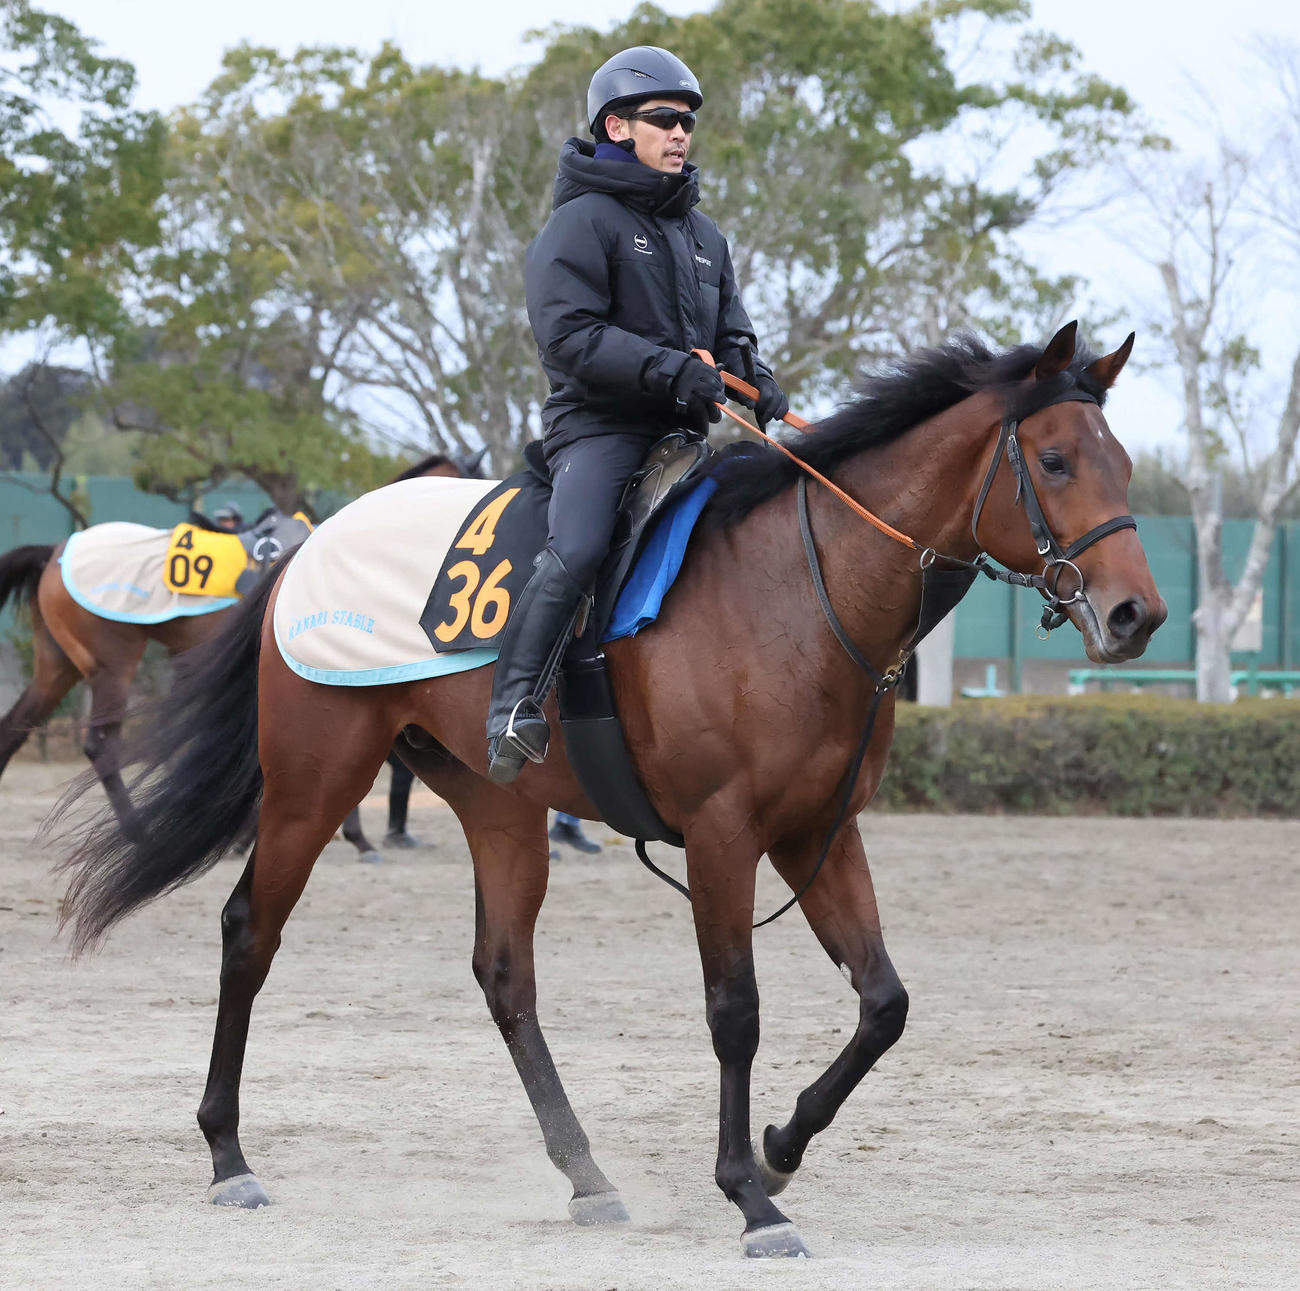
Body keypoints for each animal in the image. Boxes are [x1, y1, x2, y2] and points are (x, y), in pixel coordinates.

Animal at [0, 452, 482, 856]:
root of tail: (56, 552)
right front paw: (350, 835)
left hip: (58, 666)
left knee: (14, 728)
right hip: (112, 666)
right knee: (100, 746)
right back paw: (138, 833)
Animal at [59, 324, 1166, 1258]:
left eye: (1120, 463)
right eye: (1055, 461)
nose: (1136, 614)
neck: (795, 590)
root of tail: (313, 542)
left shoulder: (819, 832)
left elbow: (883, 1003)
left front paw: (780, 1145)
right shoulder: (724, 835)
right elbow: (735, 1010)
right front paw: (749, 1194)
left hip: (499, 806)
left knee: (505, 975)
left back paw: (585, 1173)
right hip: (312, 780)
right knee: (250, 931)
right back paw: (228, 1154)